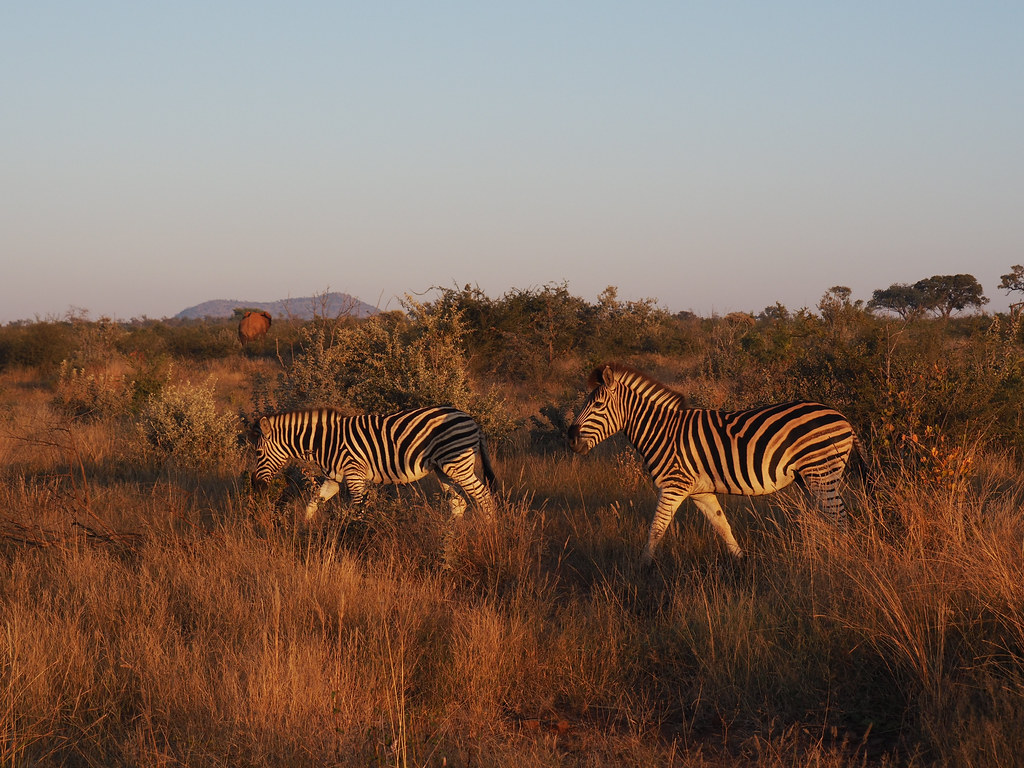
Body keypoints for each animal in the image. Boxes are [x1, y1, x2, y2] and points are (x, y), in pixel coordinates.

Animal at [253, 403, 497, 524]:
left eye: (257, 453)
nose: (258, 486)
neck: (326, 441)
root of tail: (473, 420)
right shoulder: (333, 478)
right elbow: (313, 503)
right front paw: (306, 529)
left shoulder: (354, 474)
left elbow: (357, 509)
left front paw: (356, 538)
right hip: (444, 469)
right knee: (459, 502)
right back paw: (448, 536)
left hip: (457, 463)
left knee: (484, 496)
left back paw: (489, 530)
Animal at [569, 360, 856, 565]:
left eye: (597, 405)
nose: (571, 438)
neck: (663, 431)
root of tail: (842, 417)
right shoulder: (700, 491)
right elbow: (722, 526)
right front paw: (743, 562)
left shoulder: (674, 485)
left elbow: (657, 528)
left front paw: (642, 568)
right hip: (809, 478)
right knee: (827, 516)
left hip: (822, 473)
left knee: (840, 517)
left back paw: (843, 558)